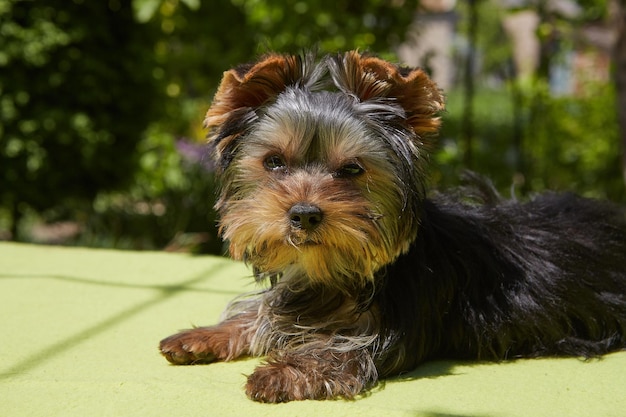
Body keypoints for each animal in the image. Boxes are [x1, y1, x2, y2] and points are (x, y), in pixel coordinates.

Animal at [160, 50, 624, 402]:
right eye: (273, 161)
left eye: (352, 169)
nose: (304, 214)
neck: (328, 273)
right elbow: (259, 311)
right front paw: (205, 335)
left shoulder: (390, 329)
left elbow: (343, 351)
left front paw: (284, 371)